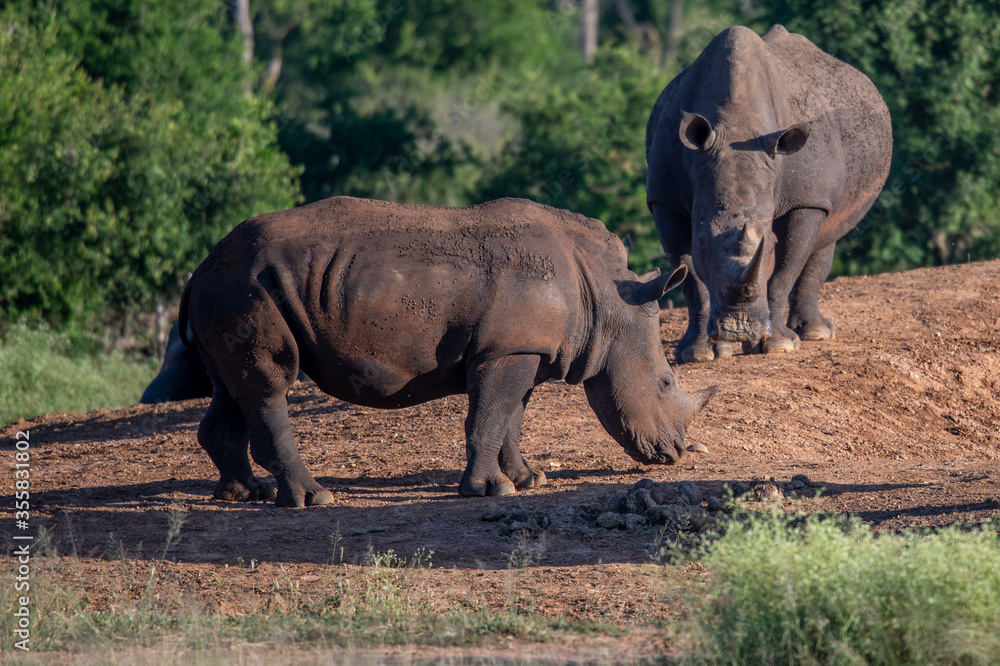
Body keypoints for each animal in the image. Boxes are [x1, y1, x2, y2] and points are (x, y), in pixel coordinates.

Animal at [180, 196, 716, 507]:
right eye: (665, 383)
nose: (675, 453)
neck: (606, 295)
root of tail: (202, 265)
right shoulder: (507, 350)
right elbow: (490, 416)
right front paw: (488, 491)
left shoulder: (517, 350)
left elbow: (510, 417)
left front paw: (527, 480)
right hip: (246, 286)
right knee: (270, 384)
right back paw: (313, 499)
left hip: (232, 287)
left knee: (233, 388)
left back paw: (245, 494)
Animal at [646, 25, 892, 362]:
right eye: (702, 242)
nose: (739, 329)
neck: (736, 129)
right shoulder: (665, 199)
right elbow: (691, 279)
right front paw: (697, 354)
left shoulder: (805, 199)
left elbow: (785, 269)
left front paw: (779, 346)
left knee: (827, 231)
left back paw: (814, 334)